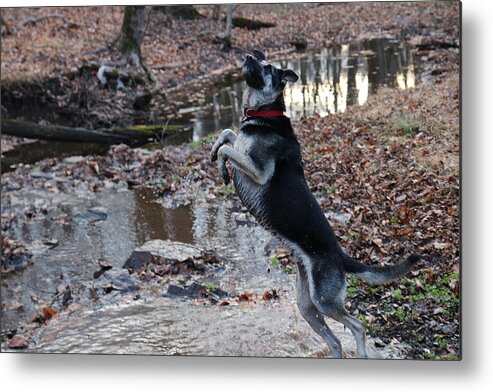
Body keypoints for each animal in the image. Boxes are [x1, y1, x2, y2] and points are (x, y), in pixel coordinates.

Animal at [209, 49, 418, 358]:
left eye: (267, 67)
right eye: (257, 59)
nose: (248, 56)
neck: (264, 114)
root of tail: (341, 257)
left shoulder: (258, 170)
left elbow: (228, 146)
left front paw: (222, 162)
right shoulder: (243, 149)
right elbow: (227, 135)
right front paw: (217, 160)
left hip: (323, 299)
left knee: (358, 325)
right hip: (307, 306)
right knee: (335, 340)